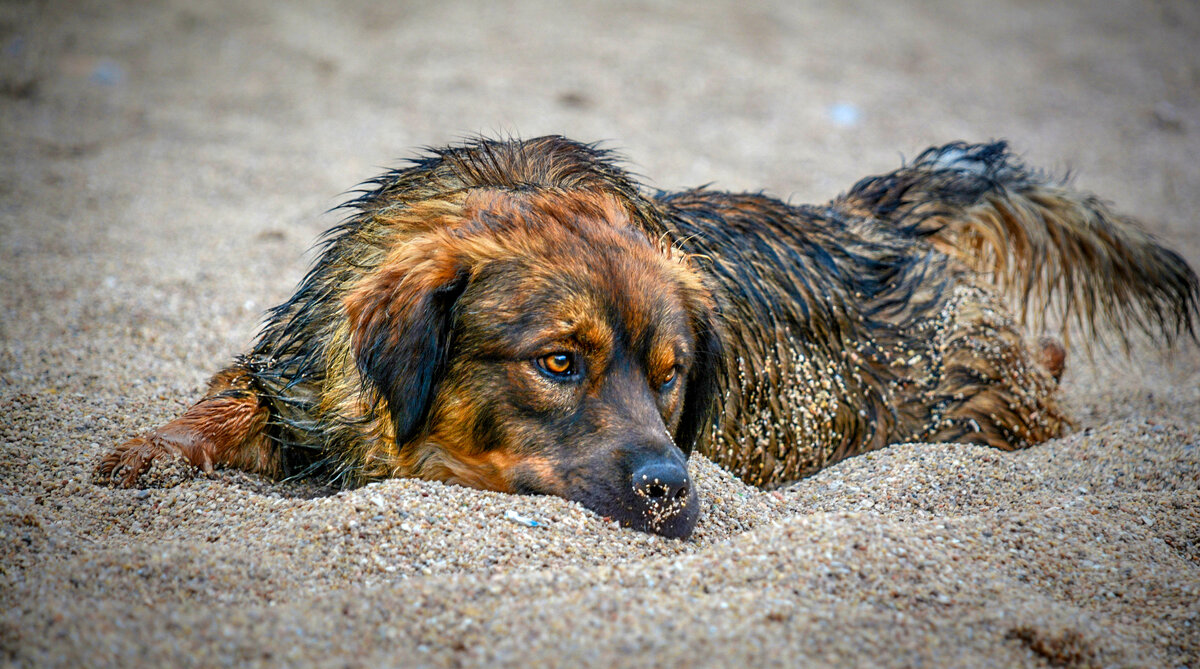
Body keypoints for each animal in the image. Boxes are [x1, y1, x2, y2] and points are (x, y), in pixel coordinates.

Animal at [96, 137, 1200, 539]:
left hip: (977, 397)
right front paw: (155, 450)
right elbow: (222, 404)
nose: (672, 490)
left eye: (675, 377)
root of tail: (870, 215)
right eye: (558, 363)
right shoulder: (300, 373)